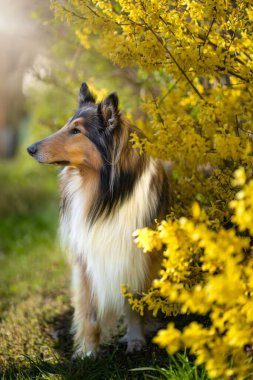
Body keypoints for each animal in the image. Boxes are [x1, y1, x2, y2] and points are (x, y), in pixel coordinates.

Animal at [27, 81, 170, 358]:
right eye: (67, 125)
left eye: (76, 131)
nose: (30, 149)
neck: (100, 192)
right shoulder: (85, 255)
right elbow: (89, 311)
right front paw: (88, 352)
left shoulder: (134, 254)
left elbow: (132, 303)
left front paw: (135, 340)